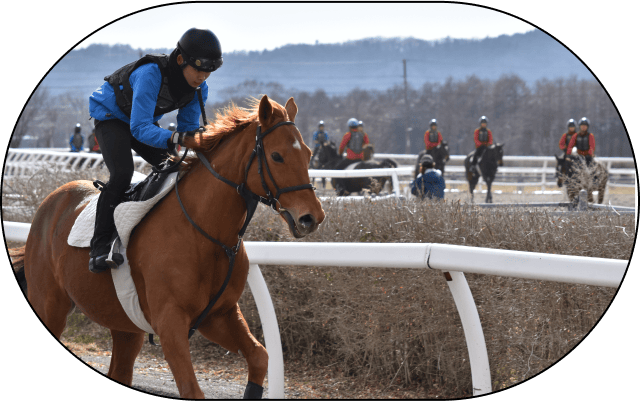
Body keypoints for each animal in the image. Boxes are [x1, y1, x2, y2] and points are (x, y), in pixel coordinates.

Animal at [13, 95, 324, 398]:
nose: (312, 217)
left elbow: (260, 356)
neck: (207, 231)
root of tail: (51, 200)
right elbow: (191, 388)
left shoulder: (218, 315)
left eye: (309, 154)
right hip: (50, 304)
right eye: (276, 155)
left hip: (126, 324)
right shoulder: (170, 322)